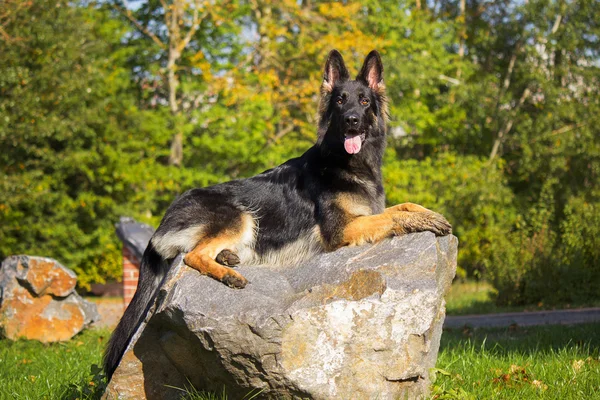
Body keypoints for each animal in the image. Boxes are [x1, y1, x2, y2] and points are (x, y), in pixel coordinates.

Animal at [104, 50, 450, 378]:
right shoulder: (340, 229)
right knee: (192, 255)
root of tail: (163, 220)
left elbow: (402, 206)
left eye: (364, 101)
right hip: (240, 216)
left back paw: (228, 258)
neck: (345, 162)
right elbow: (389, 217)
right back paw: (228, 274)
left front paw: (429, 213)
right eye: (340, 101)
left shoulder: (365, 212)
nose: (352, 120)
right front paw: (423, 221)